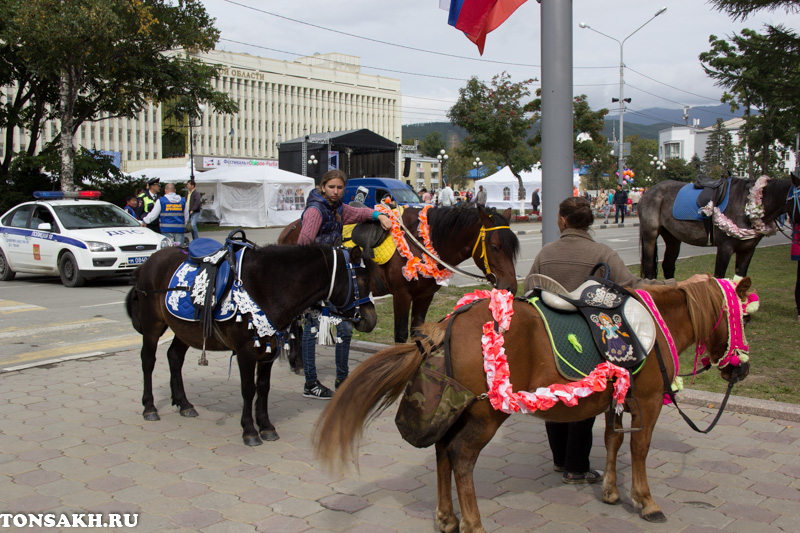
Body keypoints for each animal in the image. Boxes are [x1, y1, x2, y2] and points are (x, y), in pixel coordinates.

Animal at [126, 241, 376, 444]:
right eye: (363, 279)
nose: (370, 318)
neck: (267, 286)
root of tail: (147, 263)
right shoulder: (245, 352)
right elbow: (248, 388)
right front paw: (249, 430)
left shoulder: (268, 350)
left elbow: (263, 387)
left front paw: (265, 426)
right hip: (152, 325)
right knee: (148, 360)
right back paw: (149, 407)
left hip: (184, 329)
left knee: (174, 357)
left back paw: (184, 403)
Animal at [278, 203, 520, 344]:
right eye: (495, 246)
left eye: (512, 247)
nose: (510, 286)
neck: (421, 241)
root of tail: (289, 229)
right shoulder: (402, 296)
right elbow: (401, 334)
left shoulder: (425, 297)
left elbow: (418, 333)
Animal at [316, 276, 752, 528]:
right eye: (742, 317)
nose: (742, 369)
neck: (653, 325)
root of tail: (450, 322)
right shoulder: (647, 402)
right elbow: (640, 450)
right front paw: (645, 502)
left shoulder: (618, 400)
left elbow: (613, 441)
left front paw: (612, 492)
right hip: (486, 415)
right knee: (460, 458)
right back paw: (473, 522)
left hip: (460, 411)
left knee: (442, 452)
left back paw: (447, 517)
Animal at [636, 174, 800, 278]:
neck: (746, 203)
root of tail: (649, 192)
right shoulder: (725, 248)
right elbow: (719, 279)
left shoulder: (747, 250)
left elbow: (740, 279)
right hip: (650, 235)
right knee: (649, 267)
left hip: (673, 237)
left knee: (668, 265)